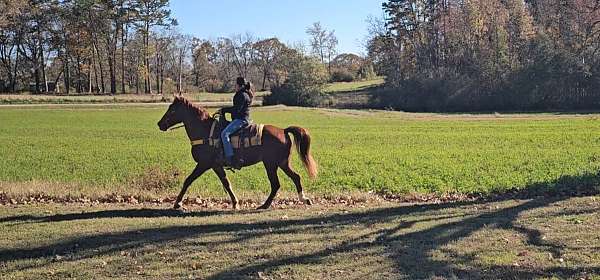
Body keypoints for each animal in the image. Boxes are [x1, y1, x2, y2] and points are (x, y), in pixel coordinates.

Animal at [158, 96, 318, 210]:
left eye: (172, 110)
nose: (160, 124)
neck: (204, 131)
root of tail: (284, 131)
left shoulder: (204, 164)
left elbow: (188, 180)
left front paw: (177, 203)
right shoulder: (216, 166)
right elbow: (226, 183)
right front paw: (235, 203)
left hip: (271, 164)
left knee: (276, 184)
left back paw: (265, 205)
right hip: (282, 163)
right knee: (295, 177)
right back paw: (303, 199)